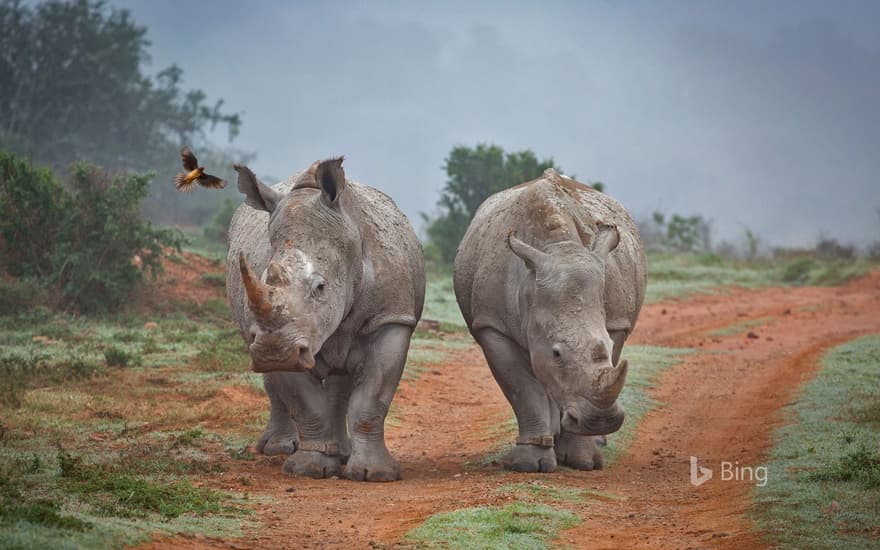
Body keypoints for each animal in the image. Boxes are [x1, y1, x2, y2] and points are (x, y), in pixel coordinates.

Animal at [223, 156, 422, 484]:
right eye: (265, 280)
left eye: (320, 287)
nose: (274, 352)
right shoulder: (285, 338)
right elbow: (305, 404)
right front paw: (309, 469)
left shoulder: (389, 319)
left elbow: (371, 399)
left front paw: (373, 474)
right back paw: (278, 449)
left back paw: (341, 452)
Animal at [454, 168, 648, 474]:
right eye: (556, 353)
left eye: (606, 344)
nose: (601, 421)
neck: (559, 246)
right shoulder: (492, 325)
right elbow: (523, 389)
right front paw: (528, 464)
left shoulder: (617, 322)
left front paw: (583, 461)